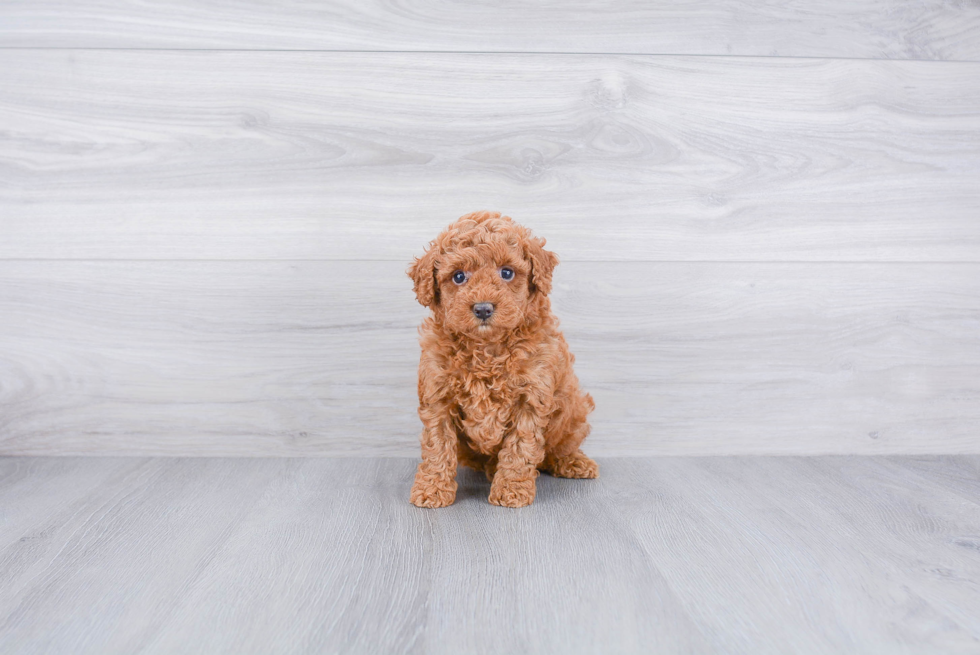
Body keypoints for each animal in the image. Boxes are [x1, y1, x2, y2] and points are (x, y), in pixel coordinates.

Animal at [408, 210, 596, 508]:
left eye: (507, 272)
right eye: (459, 277)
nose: (483, 308)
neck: (487, 348)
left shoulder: (531, 397)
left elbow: (520, 446)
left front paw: (511, 490)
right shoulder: (438, 395)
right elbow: (438, 445)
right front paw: (432, 489)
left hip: (574, 410)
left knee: (561, 447)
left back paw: (574, 462)